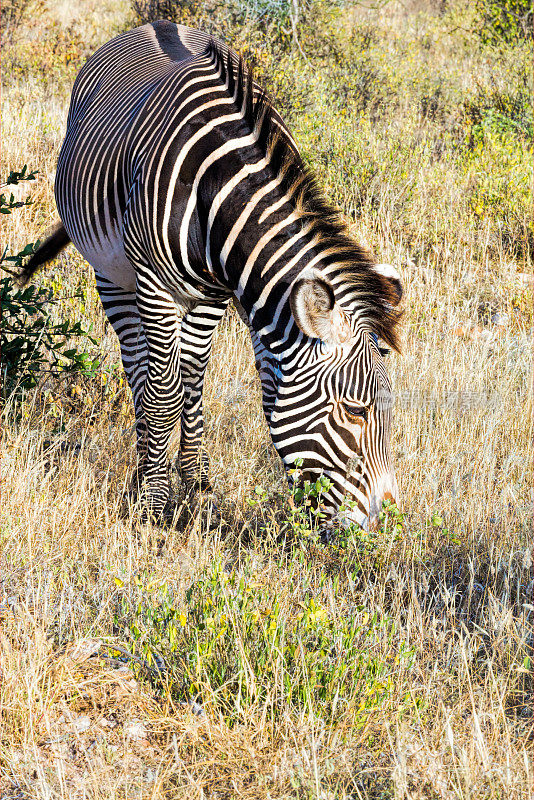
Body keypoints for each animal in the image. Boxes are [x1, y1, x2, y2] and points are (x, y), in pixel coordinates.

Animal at [22, 20, 406, 532]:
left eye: (387, 410)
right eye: (355, 411)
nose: (383, 525)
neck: (224, 194)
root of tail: (154, 24)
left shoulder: (216, 295)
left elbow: (192, 378)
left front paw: (195, 481)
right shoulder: (157, 286)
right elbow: (164, 393)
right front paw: (153, 504)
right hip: (112, 272)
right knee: (137, 368)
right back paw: (142, 466)